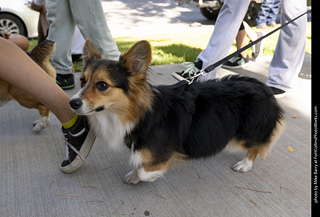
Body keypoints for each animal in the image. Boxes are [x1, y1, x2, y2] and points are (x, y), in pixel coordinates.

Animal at [70, 39, 284, 184]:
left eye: (102, 85)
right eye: (82, 81)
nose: (72, 103)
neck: (138, 113)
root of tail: (262, 87)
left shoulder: (161, 152)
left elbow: (145, 170)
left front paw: (147, 176)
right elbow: (140, 166)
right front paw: (133, 176)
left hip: (247, 133)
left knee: (256, 146)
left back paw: (245, 164)